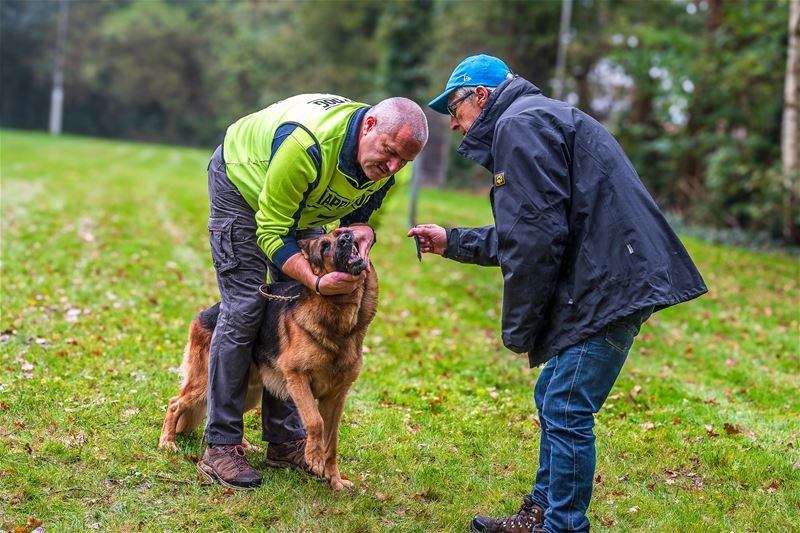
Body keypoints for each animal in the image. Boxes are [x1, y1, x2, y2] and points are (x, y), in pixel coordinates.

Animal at [161, 230, 380, 490]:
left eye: (341, 233)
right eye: (325, 247)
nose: (348, 235)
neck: (338, 321)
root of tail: (206, 313)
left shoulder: (336, 397)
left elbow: (332, 443)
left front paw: (334, 481)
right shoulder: (297, 378)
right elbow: (314, 421)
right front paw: (314, 458)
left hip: (249, 391)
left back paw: (242, 445)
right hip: (206, 384)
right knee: (176, 403)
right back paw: (168, 442)